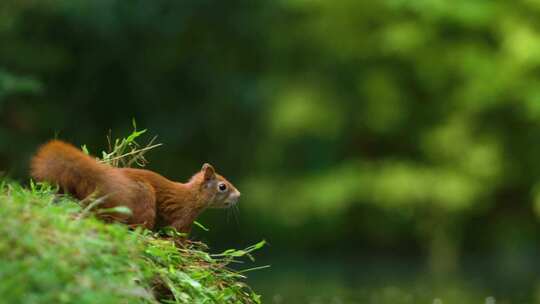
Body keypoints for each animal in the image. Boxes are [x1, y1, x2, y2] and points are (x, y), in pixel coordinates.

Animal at [29, 140, 240, 233]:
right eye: (223, 187)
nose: (239, 195)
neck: (193, 196)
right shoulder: (183, 219)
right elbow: (176, 238)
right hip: (144, 200)